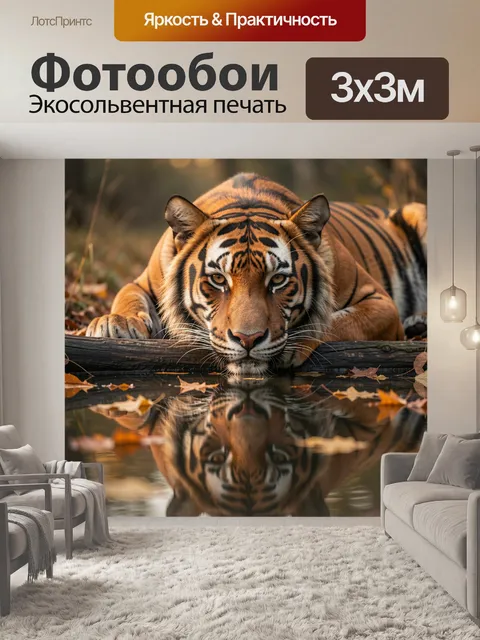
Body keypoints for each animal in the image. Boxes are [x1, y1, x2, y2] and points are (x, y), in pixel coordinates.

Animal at [86, 173, 427, 377]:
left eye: (278, 280)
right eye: (218, 280)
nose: (247, 339)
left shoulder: (380, 301)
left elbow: (337, 320)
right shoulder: (143, 281)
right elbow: (126, 295)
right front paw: (115, 324)